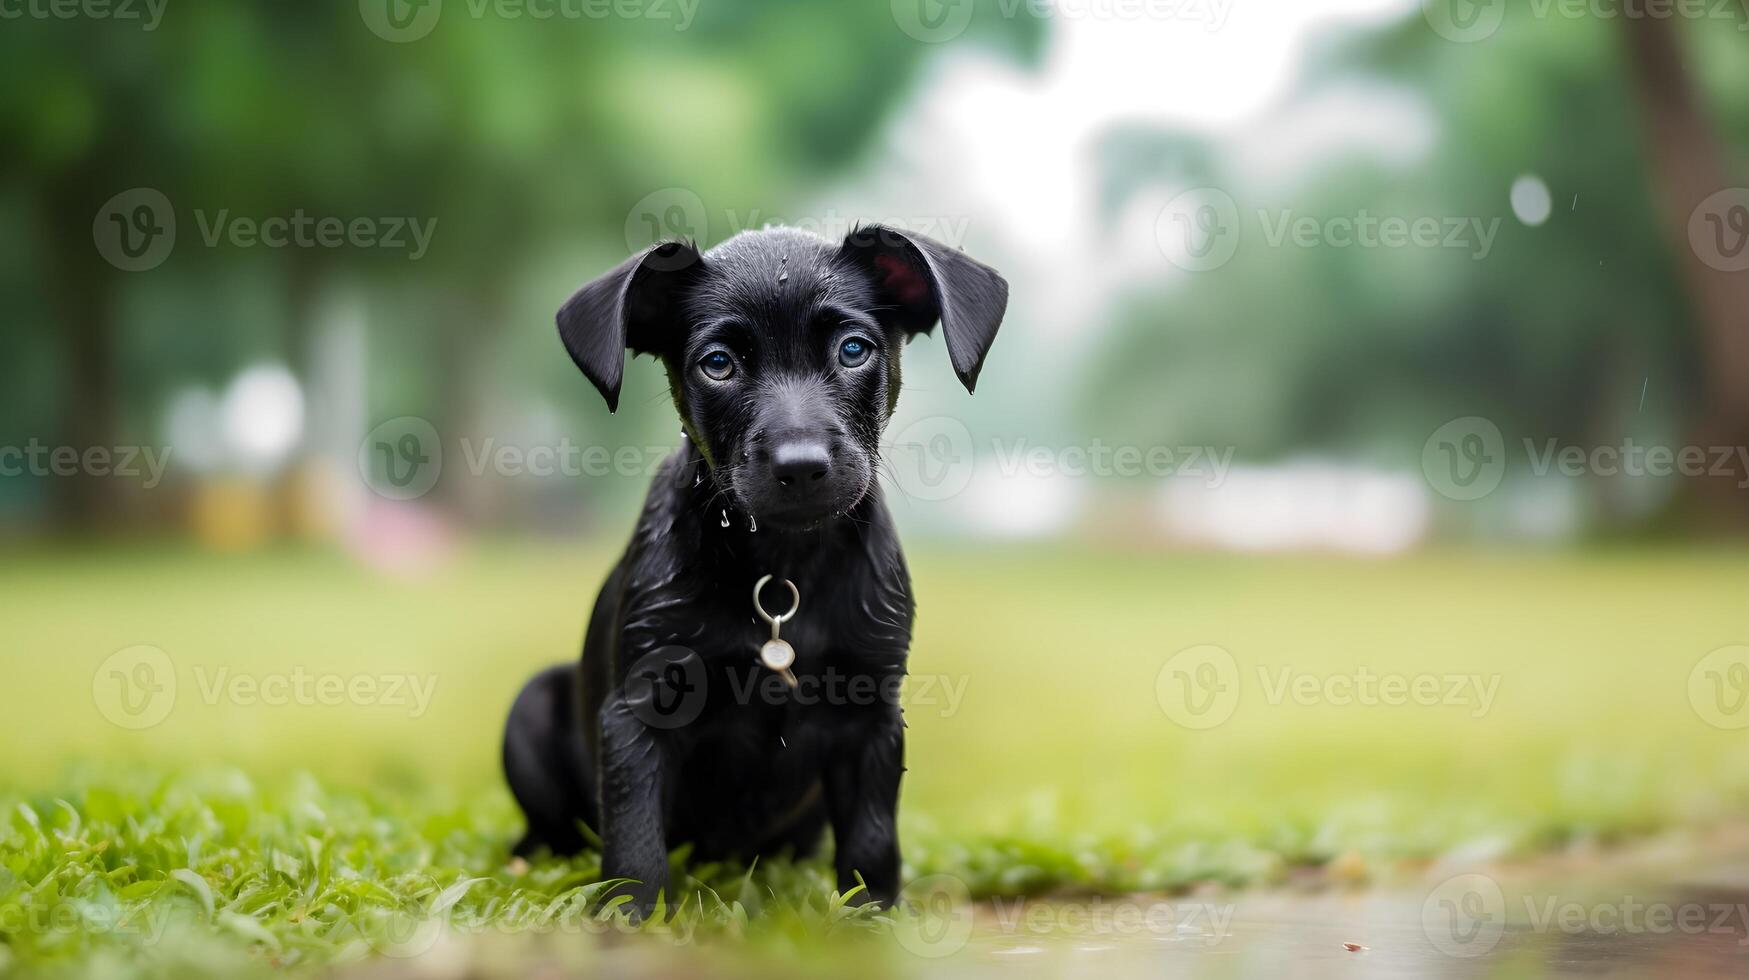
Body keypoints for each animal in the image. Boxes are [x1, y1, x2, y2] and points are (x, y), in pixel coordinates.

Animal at [500, 222, 1007, 910]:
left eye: (854, 349)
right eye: (718, 363)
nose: (801, 466)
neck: (782, 567)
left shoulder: (872, 713)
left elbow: (872, 839)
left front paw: (873, 917)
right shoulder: (639, 709)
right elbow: (634, 839)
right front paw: (628, 917)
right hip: (530, 706)